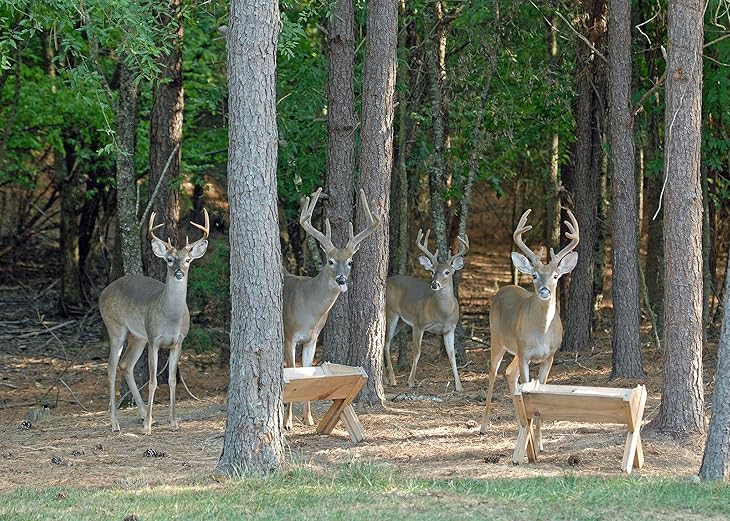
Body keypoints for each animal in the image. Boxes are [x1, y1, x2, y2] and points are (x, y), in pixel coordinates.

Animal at [99, 209, 209, 435]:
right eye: (169, 259)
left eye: (188, 260)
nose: (179, 273)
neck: (171, 318)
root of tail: (102, 292)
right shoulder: (154, 340)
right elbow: (152, 382)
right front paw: (147, 428)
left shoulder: (178, 341)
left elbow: (172, 380)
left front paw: (173, 422)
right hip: (116, 327)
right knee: (111, 366)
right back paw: (115, 423)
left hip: (138, 336)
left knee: (126, 364)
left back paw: (143, 414)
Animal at [283, 187, 380, 430]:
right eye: (330, 261)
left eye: (350, 262)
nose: (342, 280)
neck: (310, 311)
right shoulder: (290, 334)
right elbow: (292, 371)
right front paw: (287, 422)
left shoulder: (312, 339)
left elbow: (308, 372)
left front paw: (308, 418)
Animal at [383, 229, 469, 392]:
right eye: (432, 272)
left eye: (447, 272)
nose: (434, 284)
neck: (442, 313)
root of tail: (387, 281)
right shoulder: (419, 324)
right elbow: (417, 352)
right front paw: (411, 381)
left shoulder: (450, 329)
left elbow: (452, 356)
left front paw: (459, 386)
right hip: (391, 313)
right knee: (386, 342)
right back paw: (392, 379)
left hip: (402, 322)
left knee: (383, 341)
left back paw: (385, 377)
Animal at [479, 208, 579, 450]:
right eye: (534, 275)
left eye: (556, 276)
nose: (544, 291)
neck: (541, 332)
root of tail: (504, 288)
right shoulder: (525, 353)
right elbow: (526, 391)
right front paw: (530, 441)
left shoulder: (549, 356)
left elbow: (539, 392)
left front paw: (540, 443)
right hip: (498, 339)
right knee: (493, 373)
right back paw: (483, 426)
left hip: (516, 349)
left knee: (509, 373)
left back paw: (519, 423)